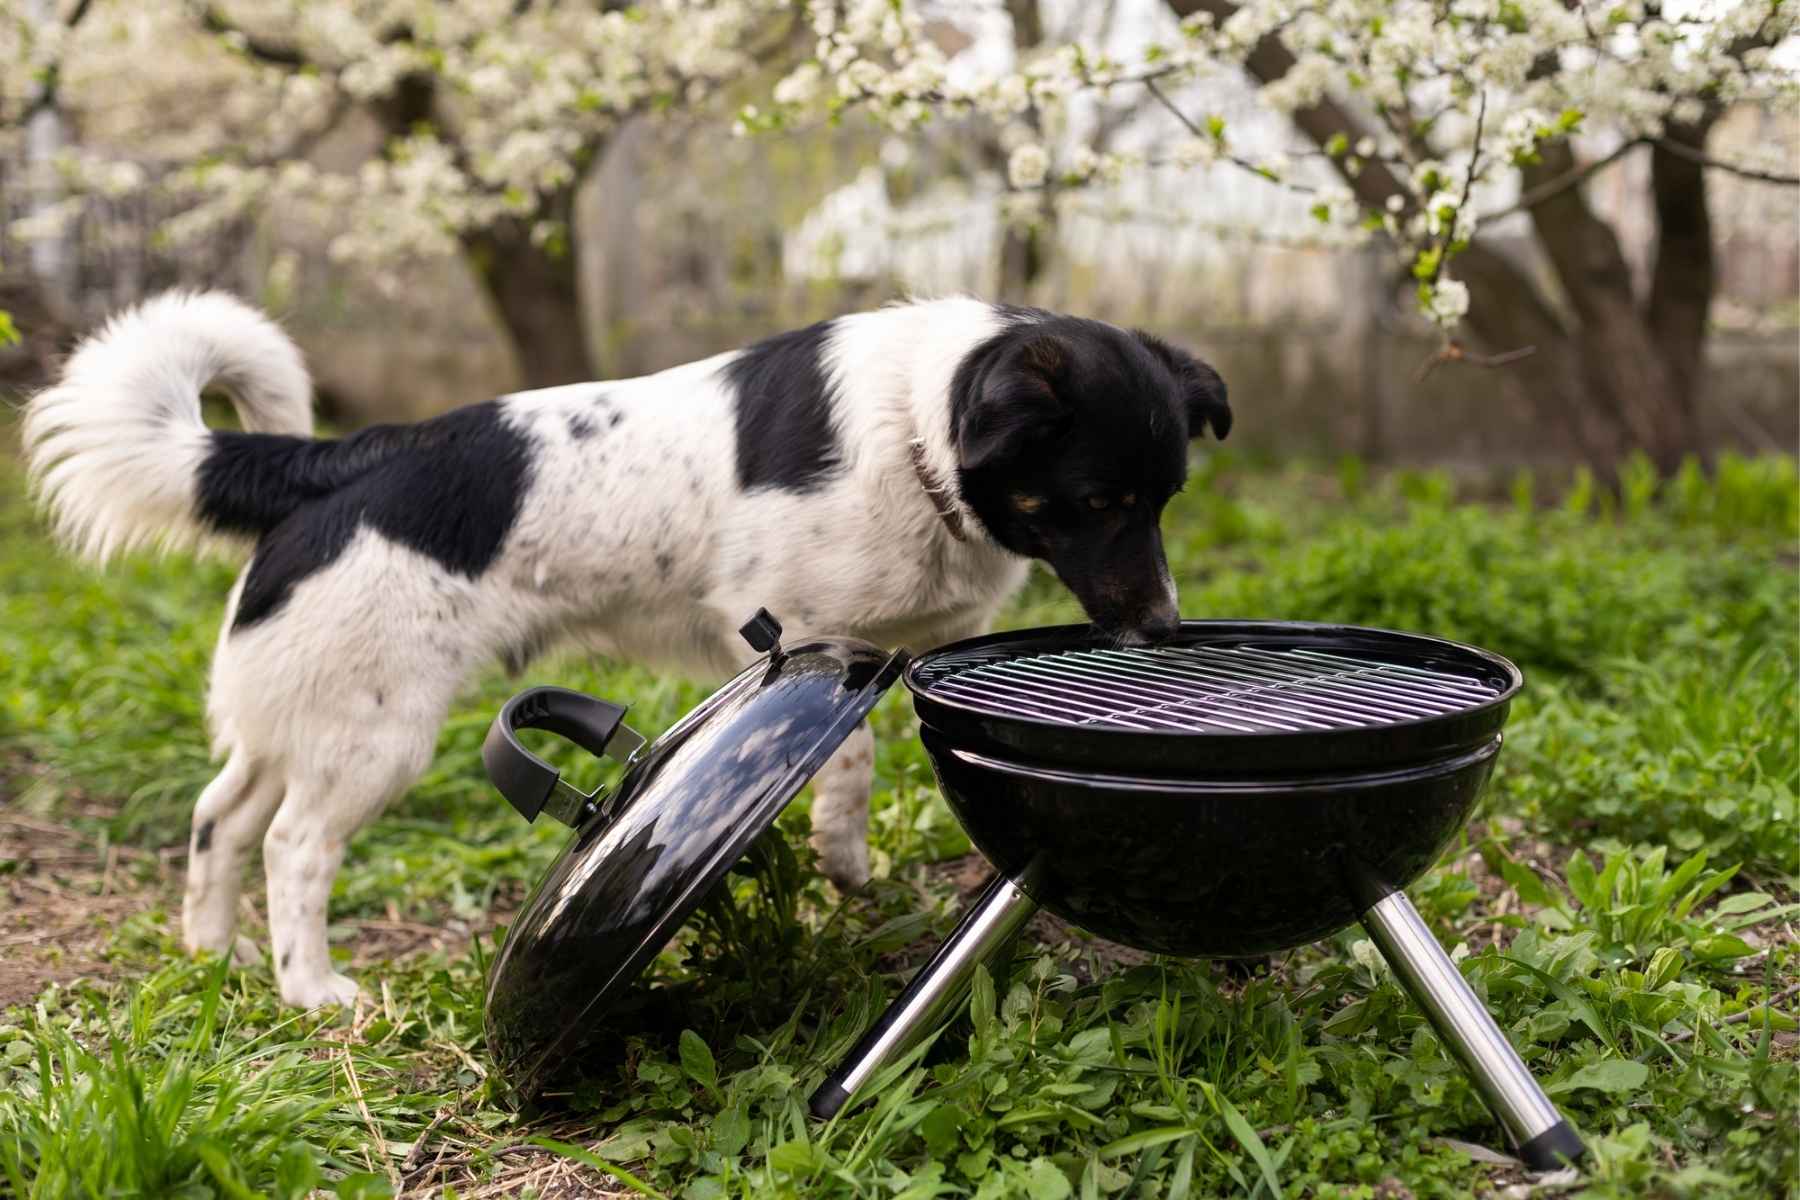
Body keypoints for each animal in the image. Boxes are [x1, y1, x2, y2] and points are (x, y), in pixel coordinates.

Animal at [28, 291, 1231, 1007]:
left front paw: (847, 870)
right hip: (378, 732)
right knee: (291, 844)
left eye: (1170, 497)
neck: (915, 428)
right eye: (1097, 500)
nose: (1163, 631)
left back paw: (210, 951)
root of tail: (341, 459)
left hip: (307, 712)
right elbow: (841, 757)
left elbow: (856, 768)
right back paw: (312, 989)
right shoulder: (798, 626)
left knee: (218, 814)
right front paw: (837, 865)